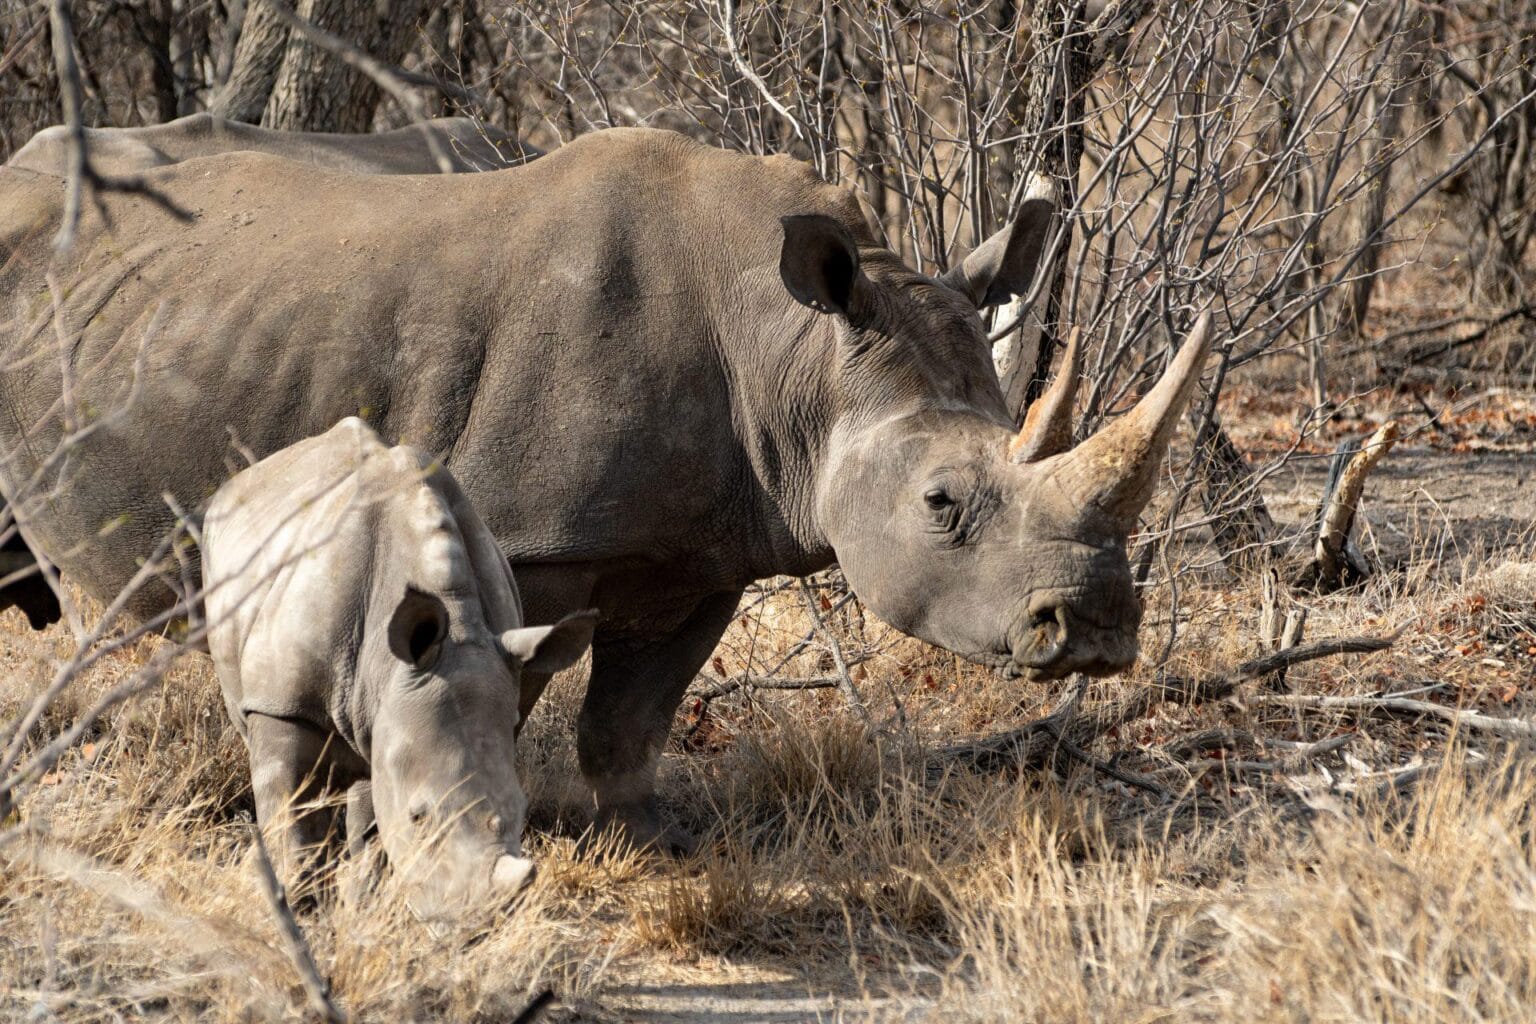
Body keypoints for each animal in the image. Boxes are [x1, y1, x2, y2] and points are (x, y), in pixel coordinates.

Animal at [0, 127, 1213, 851]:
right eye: (941, 504)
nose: (1099, 630)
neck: (795, 353)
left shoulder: (710, 543)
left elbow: (635, 713)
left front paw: (656, 838)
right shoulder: (532, 533)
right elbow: (492, 692)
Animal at [203, 417, 595, 917]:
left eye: (524, 810)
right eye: (419, 816)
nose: (474, 926)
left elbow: (376, 822)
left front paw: (368, 910)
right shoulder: (283, 703)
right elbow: (290, 812)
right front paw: (300, 909)